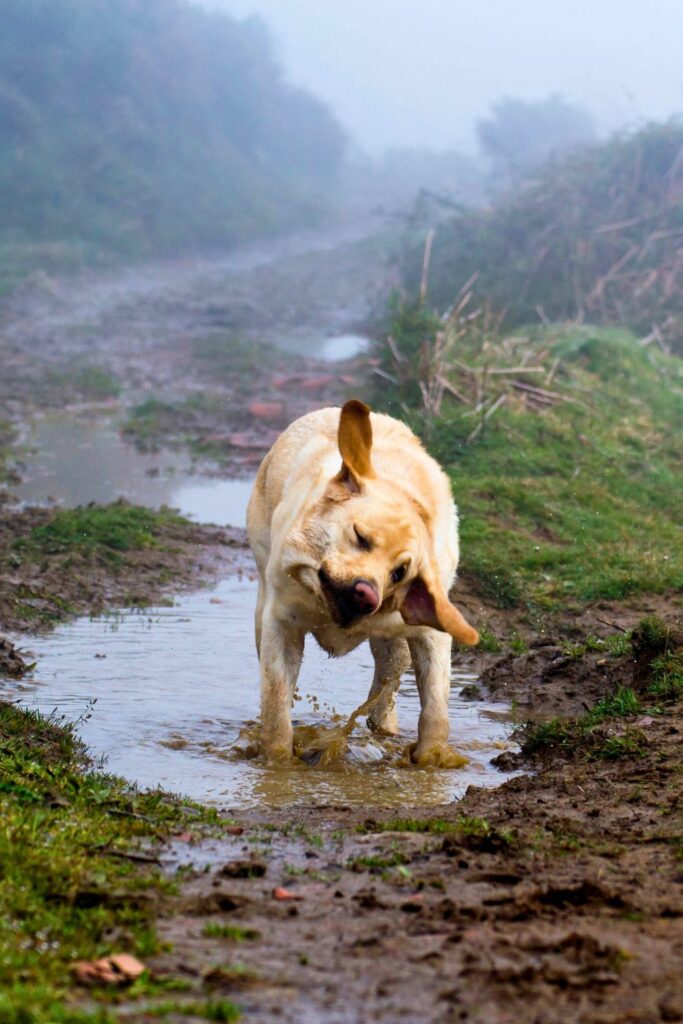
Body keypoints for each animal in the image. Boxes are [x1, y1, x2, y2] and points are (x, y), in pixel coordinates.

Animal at [246, 395, 481, 765]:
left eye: (399, 572)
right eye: (360, 536)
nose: (367, 594)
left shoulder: (430, 632)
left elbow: (436, 709)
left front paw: (433, 760)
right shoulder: (280, 621)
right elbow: (276, 704)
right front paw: (277, 762)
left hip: (392, 641)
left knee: (389, 675)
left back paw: (385, 730)